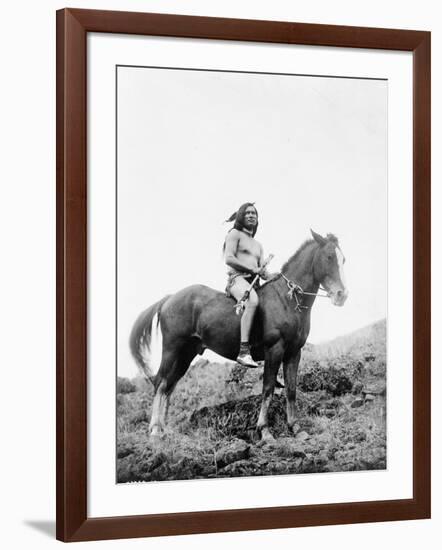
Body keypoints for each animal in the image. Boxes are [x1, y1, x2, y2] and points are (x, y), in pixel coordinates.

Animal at [129, 231, 348, 442]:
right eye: (329, 257)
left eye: (343, 259)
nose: (342, 295)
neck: (287, 299)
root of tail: (170, 298)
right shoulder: (274, 350)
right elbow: (268, 389)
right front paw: (264, 431)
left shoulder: (294, 353)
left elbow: (291, 390)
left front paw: (296, 428)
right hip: (172, 349)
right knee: (160, 383)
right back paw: (155, 430)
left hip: (186, 354)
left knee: (170, 385)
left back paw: (164, 429)